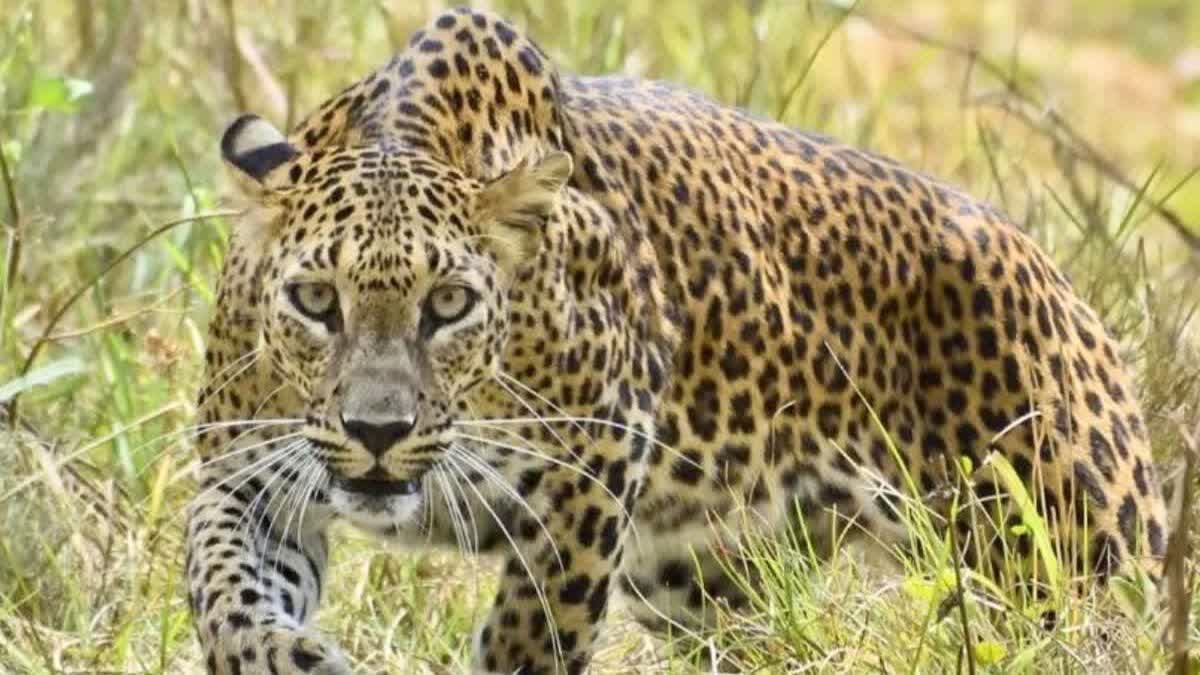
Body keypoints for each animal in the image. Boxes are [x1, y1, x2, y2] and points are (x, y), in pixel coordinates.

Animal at [185, 6, 1169, 674]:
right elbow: (223, 585)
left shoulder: (594, 467)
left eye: (450, 303)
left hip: (1070, 559)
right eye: (317, 300)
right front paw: (283, 652)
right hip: (711, 583)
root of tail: (1061, 281)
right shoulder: (247, 473)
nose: (378, 433)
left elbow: (534, 631)